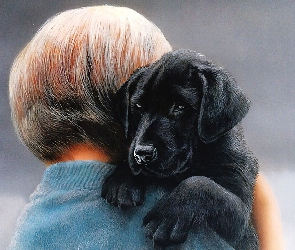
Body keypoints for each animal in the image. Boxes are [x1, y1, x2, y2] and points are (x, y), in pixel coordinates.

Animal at [102, 49, 260, 250]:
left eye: (180, 106)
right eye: (138, 106)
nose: (142, 154)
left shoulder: (240, 218)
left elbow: (199, 183)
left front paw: (167, 217)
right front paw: (122, 180)